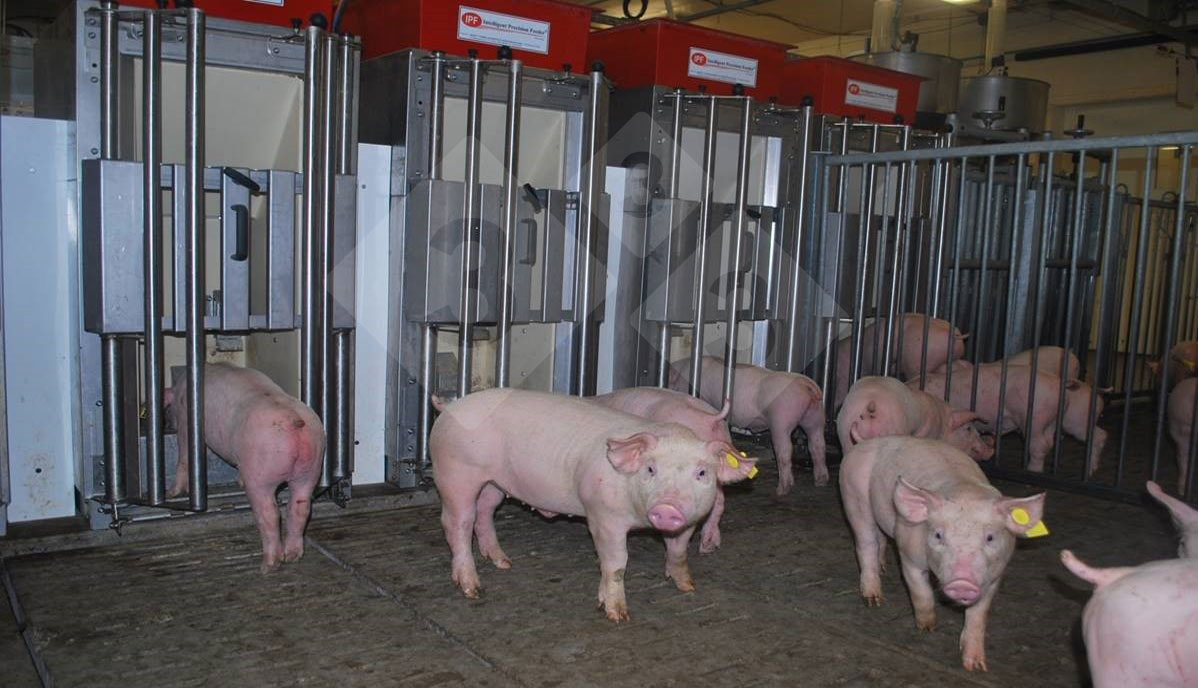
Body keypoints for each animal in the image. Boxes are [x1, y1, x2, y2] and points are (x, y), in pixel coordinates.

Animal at [165, 363, 325, 573]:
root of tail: (294, 421)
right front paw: (238, 480)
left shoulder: (185, 420)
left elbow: (184, 454)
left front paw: (171, 493)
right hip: (311, 467)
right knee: (300, 507)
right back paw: (292, 556)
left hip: (261, 474)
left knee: (270, 513)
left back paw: (268, 566)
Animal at [669, 356, 825, 492]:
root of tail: (807, 384)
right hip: (815, 416)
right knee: (817, 445)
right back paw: (820, 481)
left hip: (781, 419)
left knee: (785, 450)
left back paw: (782, 490)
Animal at [840, 436, 1046, 671]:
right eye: (938, 535)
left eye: (990, 537)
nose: (962, 582)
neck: (966, 493)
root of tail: (865, 442)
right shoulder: (909, 554)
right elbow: (920, 592)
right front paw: (927, 628)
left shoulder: (995, 575)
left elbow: (979, 615)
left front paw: (976, 666)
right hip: (853, 496)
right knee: (866, 543)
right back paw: (873, 600)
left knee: (880, 538)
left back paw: (883, 568)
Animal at [916, 361, 1107, 475]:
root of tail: (1060, 383)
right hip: (1064, 421)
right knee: (1097, 436)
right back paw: (1092, 470)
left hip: (1036, 417)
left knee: (1041, 444)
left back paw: (1033, 470)